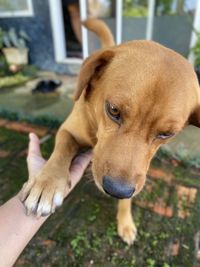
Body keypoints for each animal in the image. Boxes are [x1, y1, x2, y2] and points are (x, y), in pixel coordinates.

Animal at [20, 18, 200, 245]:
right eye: (113, 110)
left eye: (167, 133)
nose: (117, 190)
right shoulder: (67, 131)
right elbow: (62, 151)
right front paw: (47, 183)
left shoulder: (136, 174)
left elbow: (129, 196)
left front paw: (125, 222)